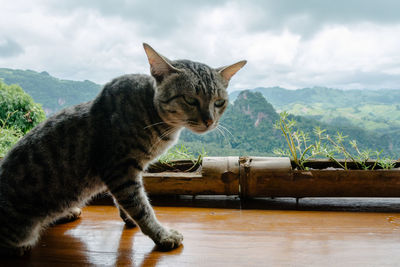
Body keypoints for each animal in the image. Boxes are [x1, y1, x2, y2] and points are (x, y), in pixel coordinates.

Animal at [0, 43, 247, 256]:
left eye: (219, 102)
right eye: (189, 99)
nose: (209, 121)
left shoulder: (126, 172)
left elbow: (126, 201)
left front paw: (129, 218)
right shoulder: (120, 169)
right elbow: (140, 206)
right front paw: (161, 235)